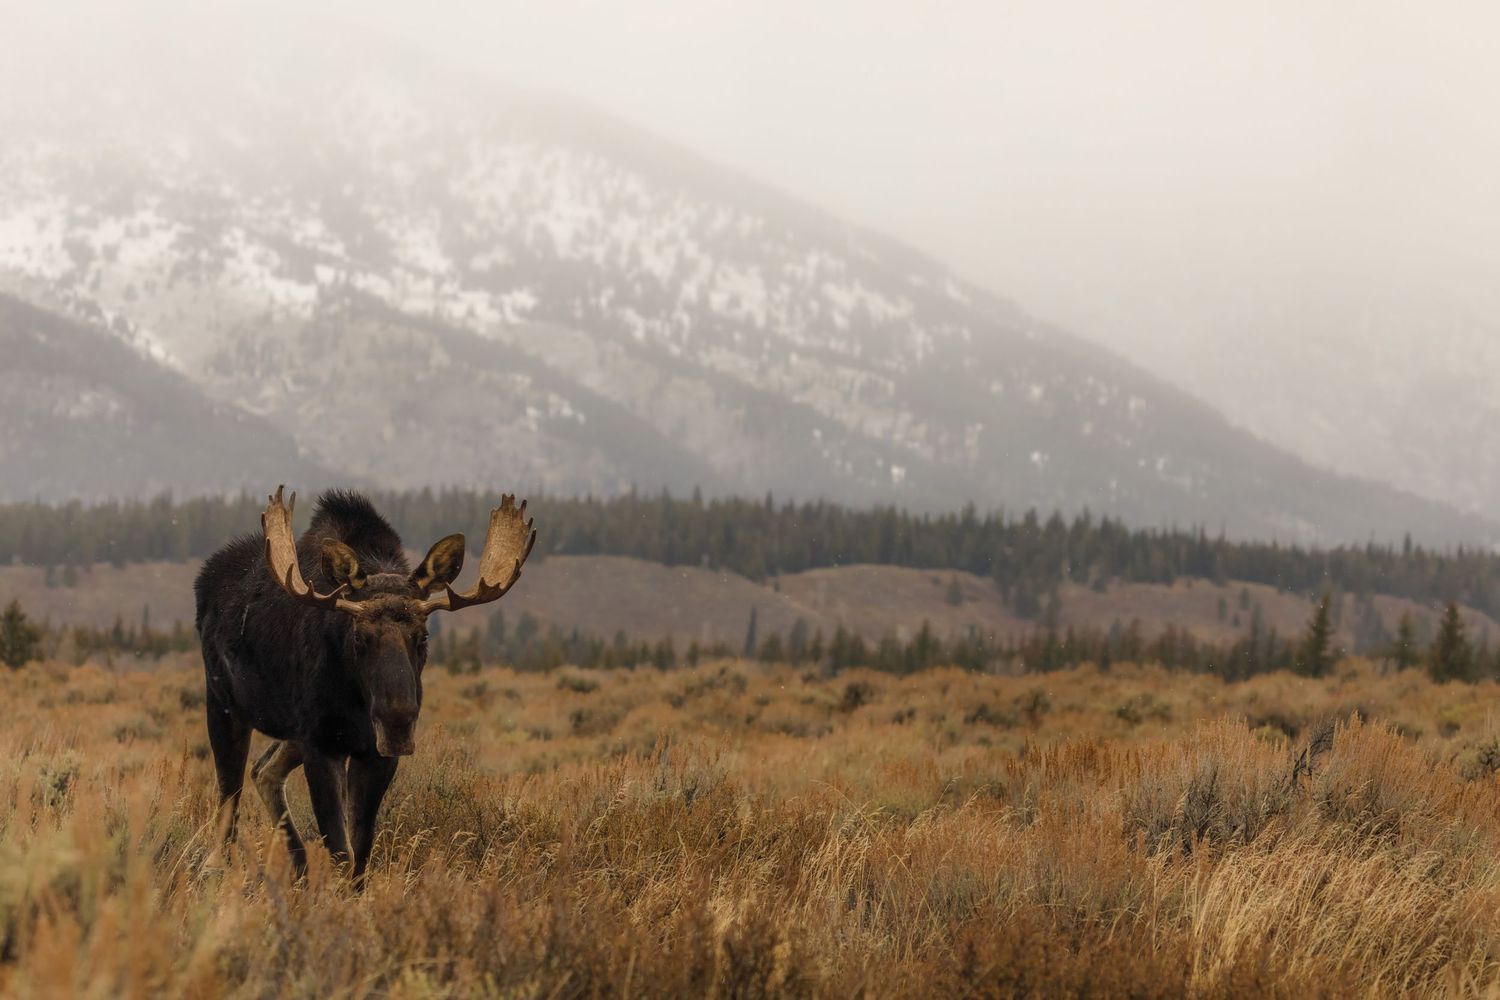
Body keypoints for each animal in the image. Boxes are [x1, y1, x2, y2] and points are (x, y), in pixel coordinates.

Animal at [194, 486, 535, 884]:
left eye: (423, 636)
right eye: (359, 636)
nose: (397, 720)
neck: (357, 702)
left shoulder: (372, 753)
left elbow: (360, 849)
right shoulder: (321, 743)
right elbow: (340, 847)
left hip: (291, 731)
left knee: (263, 771)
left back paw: (301, 869)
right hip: (224, 704)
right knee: (229, 792)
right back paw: (216, 866)